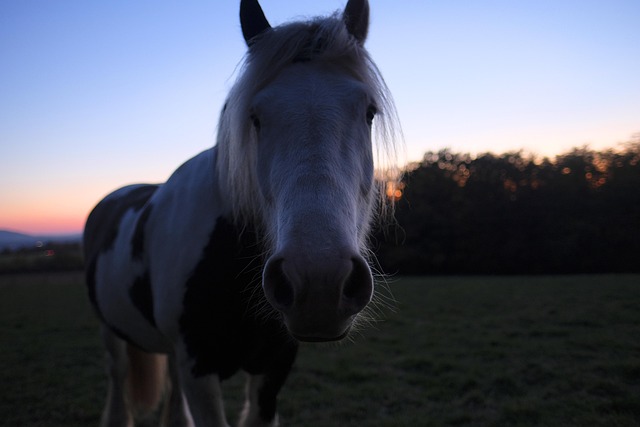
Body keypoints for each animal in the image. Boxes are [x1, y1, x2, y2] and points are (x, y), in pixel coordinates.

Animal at [82, 1, 398, 426]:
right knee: (118, 377)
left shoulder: (274, 366)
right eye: (255, 116)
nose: (319, 280)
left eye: (369, 112)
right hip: (111, 331)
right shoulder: (198, 369)